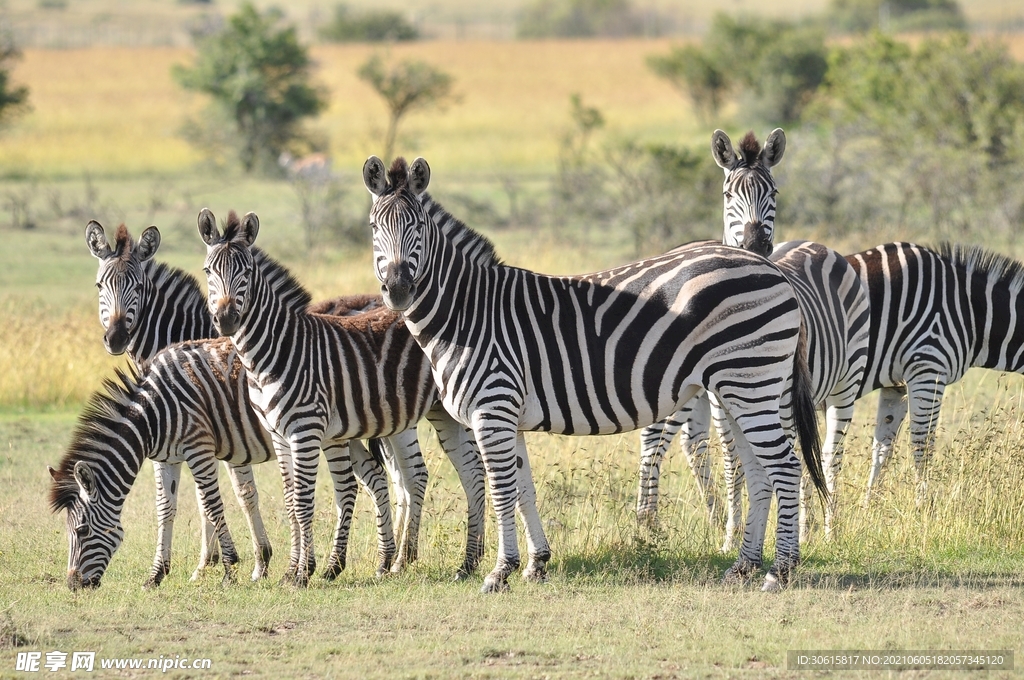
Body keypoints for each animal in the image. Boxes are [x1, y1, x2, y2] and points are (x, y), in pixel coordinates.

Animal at [48, 340, 399, 589]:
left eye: (81, 530)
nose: (72, 586)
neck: (155, 414)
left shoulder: (198, 448)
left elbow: (211, 504)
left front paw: (229, 568)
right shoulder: (166, 458)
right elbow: (165, 509)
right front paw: (156, 574)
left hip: (330, 432)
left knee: (351, 486)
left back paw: (340, 565)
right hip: (345, 432)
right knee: (376, 477)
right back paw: (385, 562)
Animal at [83, 223, 409, 585]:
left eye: (138, 287)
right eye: (99, 286)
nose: (115, 338)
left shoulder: (215, 433)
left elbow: (222, 497)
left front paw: (215, 563)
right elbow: (225, 496)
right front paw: (246, 561)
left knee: (396, 480)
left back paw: (387, 559)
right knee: (379, 478)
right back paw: (385, 560)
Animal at [196, 209, 491, 585]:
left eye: (246, 271)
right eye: (208, 271)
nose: (226, 320)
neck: (273, 350)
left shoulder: (305, 430)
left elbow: (304, 501)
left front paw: (303, 573)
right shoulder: (278, 434)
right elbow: (290, 500)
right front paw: (291, 570)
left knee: (465, 470)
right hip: (440, 411)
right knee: (469, 470)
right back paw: (467, 561)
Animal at [360, 156, 823, 593]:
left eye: (418, 226)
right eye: (373, 226)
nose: (399, 289)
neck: (466, 313)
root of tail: (770, 267)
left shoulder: (492, 409)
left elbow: (502, 490)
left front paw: (498, 572)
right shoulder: (510, 417)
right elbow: (524, 490)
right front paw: (536, 564)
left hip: (751, 382)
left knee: (786, 468)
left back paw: (779, 571)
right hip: (737, 389)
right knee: (760, 472)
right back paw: (744, 565)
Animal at [634, 127, 868, 544]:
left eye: (773, 192)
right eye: (729, 195)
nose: (756, 243)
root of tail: (818, 245)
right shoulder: (720, 402)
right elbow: (734, 463)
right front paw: (733, 534)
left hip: (844, 385)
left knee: (830, 455)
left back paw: (826, 530)